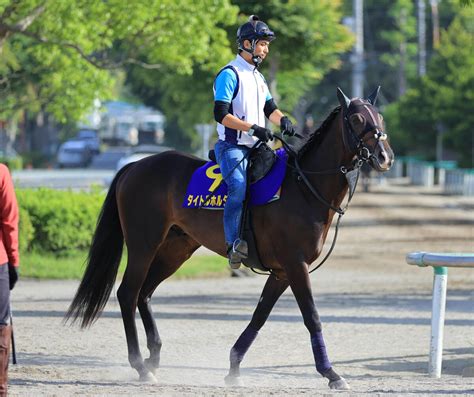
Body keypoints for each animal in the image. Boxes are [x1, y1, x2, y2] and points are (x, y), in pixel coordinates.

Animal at [65, 87, 392, 390]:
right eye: (357, 118)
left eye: (380, 117)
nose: (385, 157)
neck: (302, 186)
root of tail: (135, 166)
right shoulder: (295, 265)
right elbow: (311, 316)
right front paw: (331, 373)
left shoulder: (281, 272)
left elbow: (259, 316)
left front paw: (234, 367)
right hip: (143, 244)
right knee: (128, 294)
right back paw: (140, 366)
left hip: (176, 249)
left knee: (144, 293)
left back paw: (153, 356)